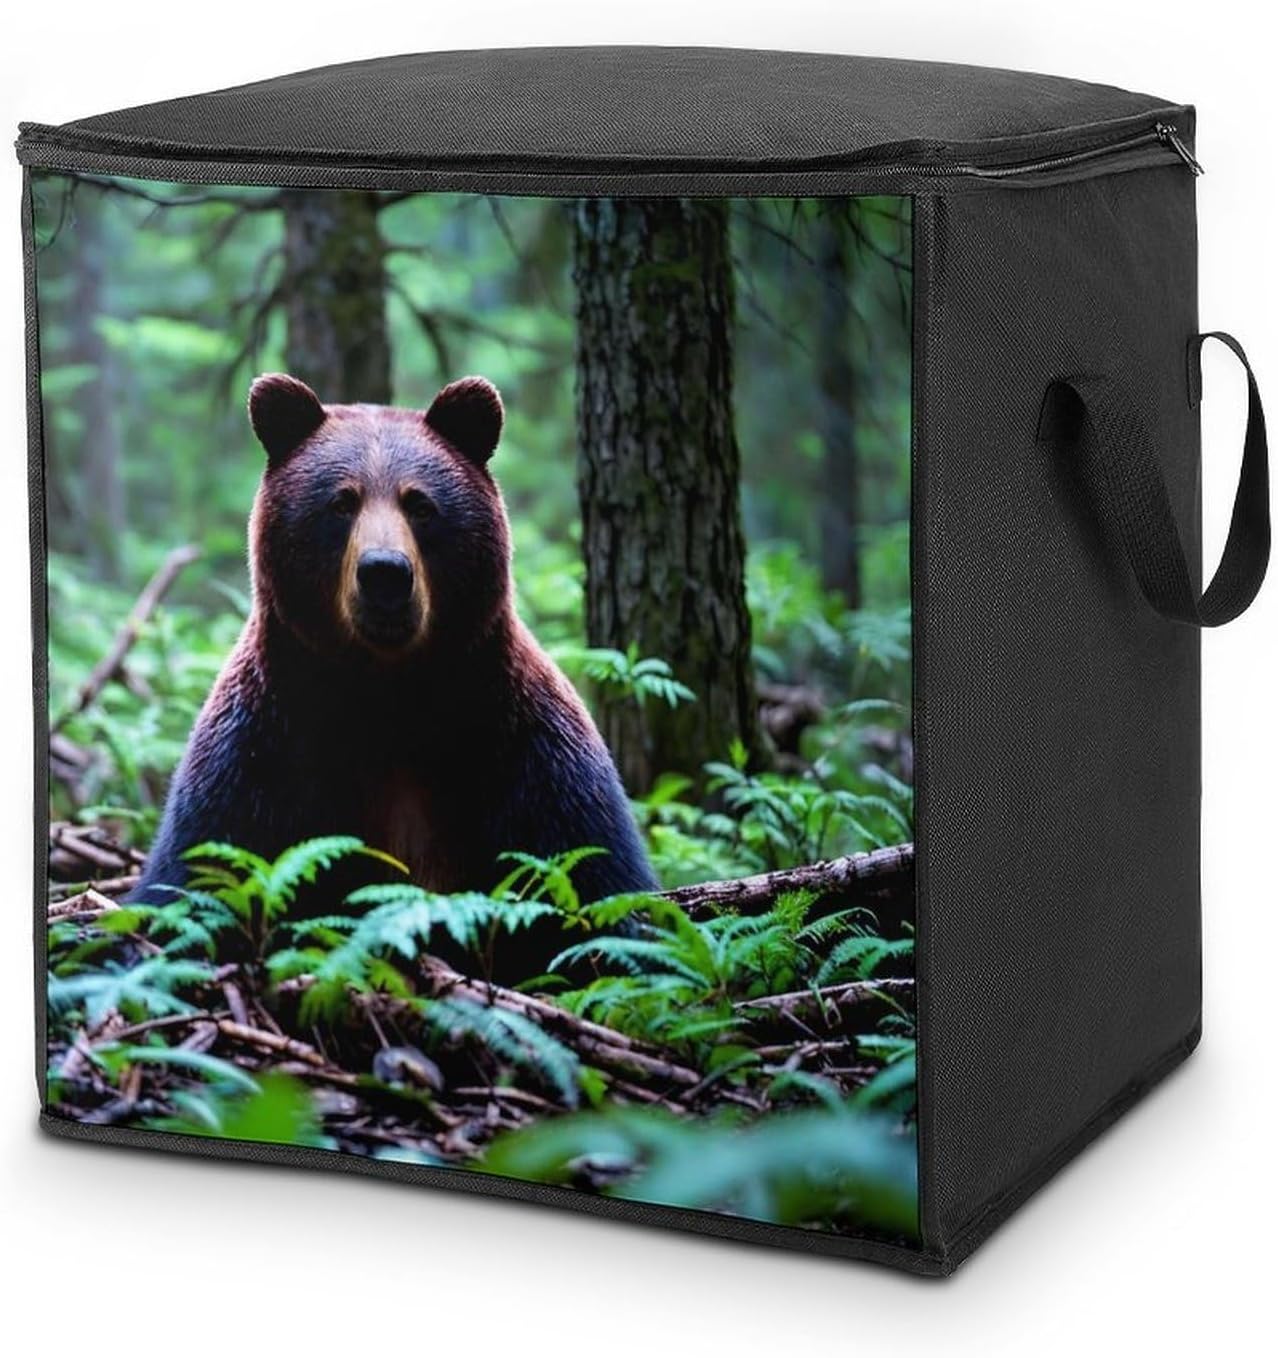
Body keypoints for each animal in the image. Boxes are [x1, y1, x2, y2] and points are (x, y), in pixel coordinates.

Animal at [135, 372, 657, 958]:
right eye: (341, 502)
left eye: (420, 504)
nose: (384, 572)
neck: (389, 696)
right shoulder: (259, 753)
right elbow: (190, 877)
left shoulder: (530, 758)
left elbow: (603, 884)